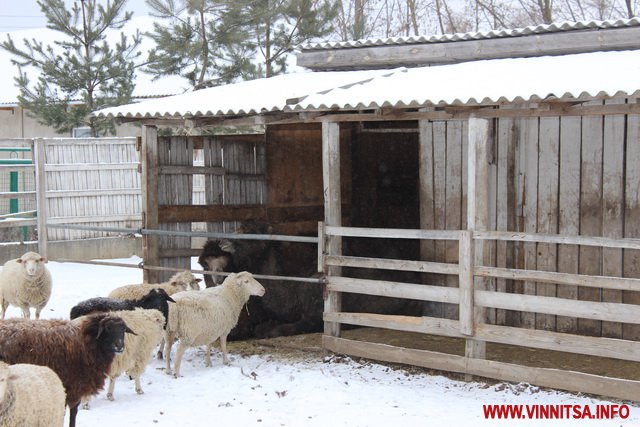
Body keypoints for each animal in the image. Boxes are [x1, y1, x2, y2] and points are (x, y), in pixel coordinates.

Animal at [0, 310, 135, 427]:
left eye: (123, 330)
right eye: (108, 328)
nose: (119, 346)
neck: (86, 342)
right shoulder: (72, 387)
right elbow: (71, 412)